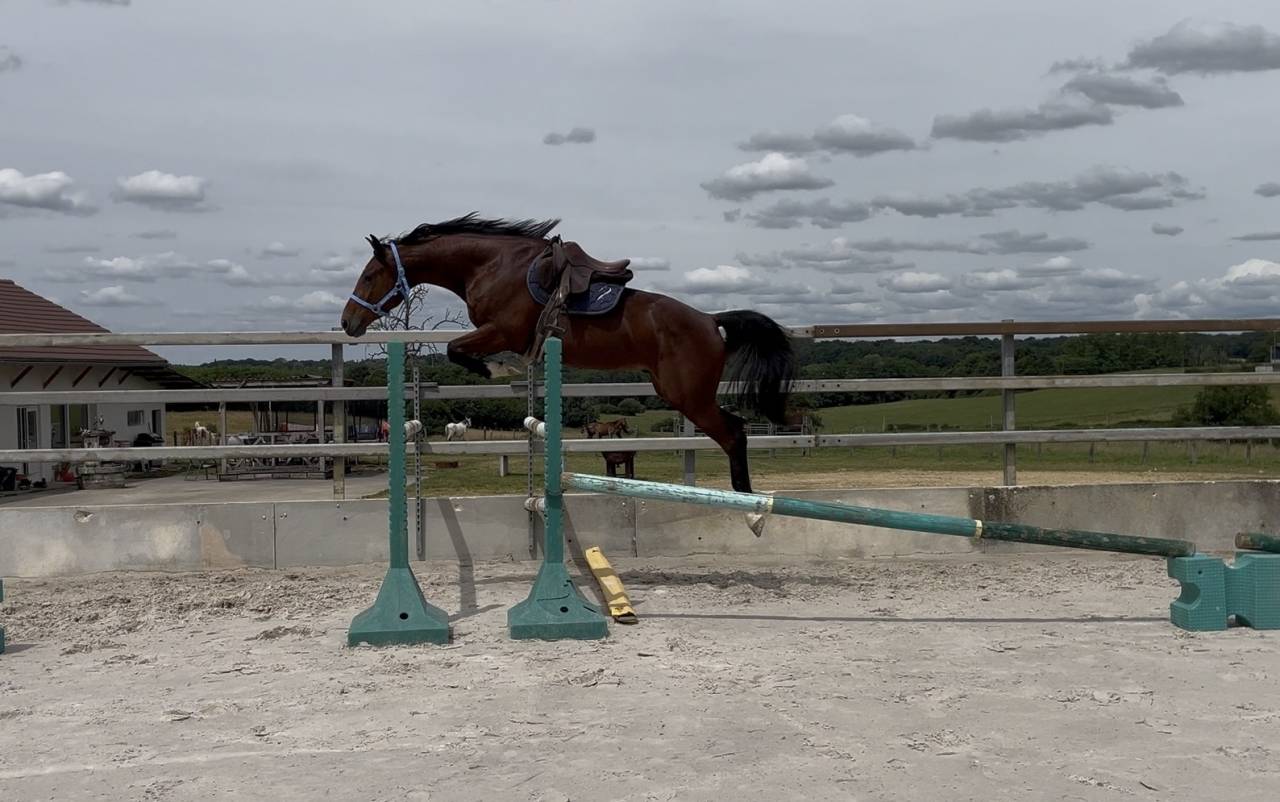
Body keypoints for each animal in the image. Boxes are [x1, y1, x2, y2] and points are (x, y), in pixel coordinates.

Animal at [340, 214, 795, 493]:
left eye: (369, 275)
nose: (347, 322)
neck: (490, 265)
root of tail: (711, 320)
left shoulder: (501, 330)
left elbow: (457, 349)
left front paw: (501, 368)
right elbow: (457, 350)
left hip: (689, 396)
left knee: (734, 432)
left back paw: (747, 501)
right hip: (681, 393)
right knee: (734, 430)